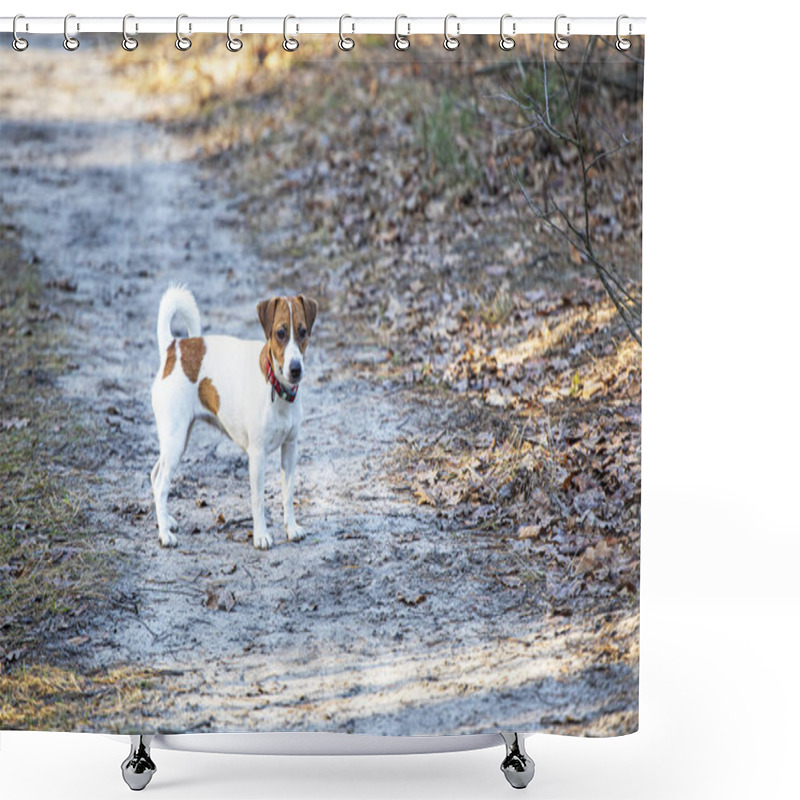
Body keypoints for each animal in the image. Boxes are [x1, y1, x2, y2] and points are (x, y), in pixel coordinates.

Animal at [149, 286, 316, 552]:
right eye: (280, 333)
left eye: (302, 332)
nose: (295, 369)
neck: (275, 386)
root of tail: (173, 348)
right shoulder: (257, 456)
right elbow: (258, 500)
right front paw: (261, 536)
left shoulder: (290, 449)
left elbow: (288, 494)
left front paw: (291, 528)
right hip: (175, 442)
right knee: (161, 484)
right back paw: (165, 534)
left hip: (177, 441)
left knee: (155, 476)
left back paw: (166, 520)